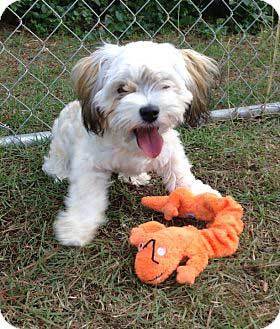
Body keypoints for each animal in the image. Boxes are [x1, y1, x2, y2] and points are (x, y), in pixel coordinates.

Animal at [42, 41, 220, 245]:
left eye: (165, 85)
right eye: (121, 89)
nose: (150, 111)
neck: (131, 144)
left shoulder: (170, 150)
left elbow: (181, 174)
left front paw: (199, 196)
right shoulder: (89, 165)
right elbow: (86, 197)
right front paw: (76, 226)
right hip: (61, 142)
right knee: (56, 158)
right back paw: (58, 172)